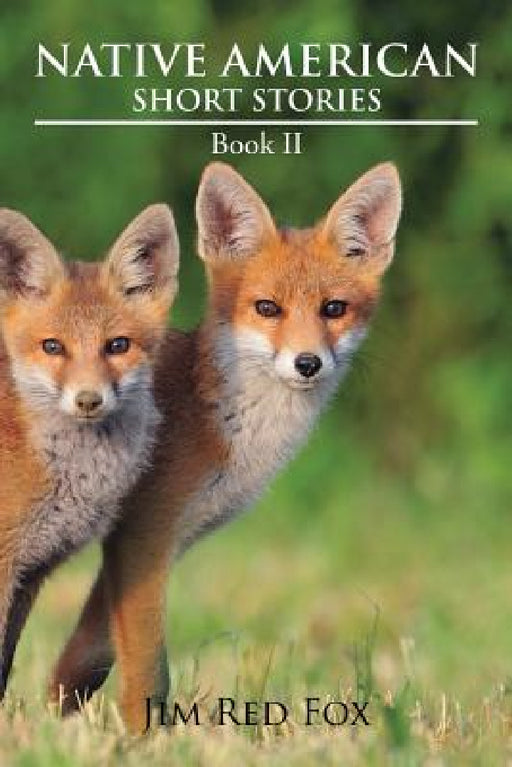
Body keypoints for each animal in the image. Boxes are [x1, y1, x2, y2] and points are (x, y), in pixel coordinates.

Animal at [49, 161, 402, 733]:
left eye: (334, 309)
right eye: (267, 308)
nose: (308, 363)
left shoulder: (154, 541)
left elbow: (87, 654)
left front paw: (52, 721)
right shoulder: (145, 533)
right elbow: (147, 670)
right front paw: (142, 739)